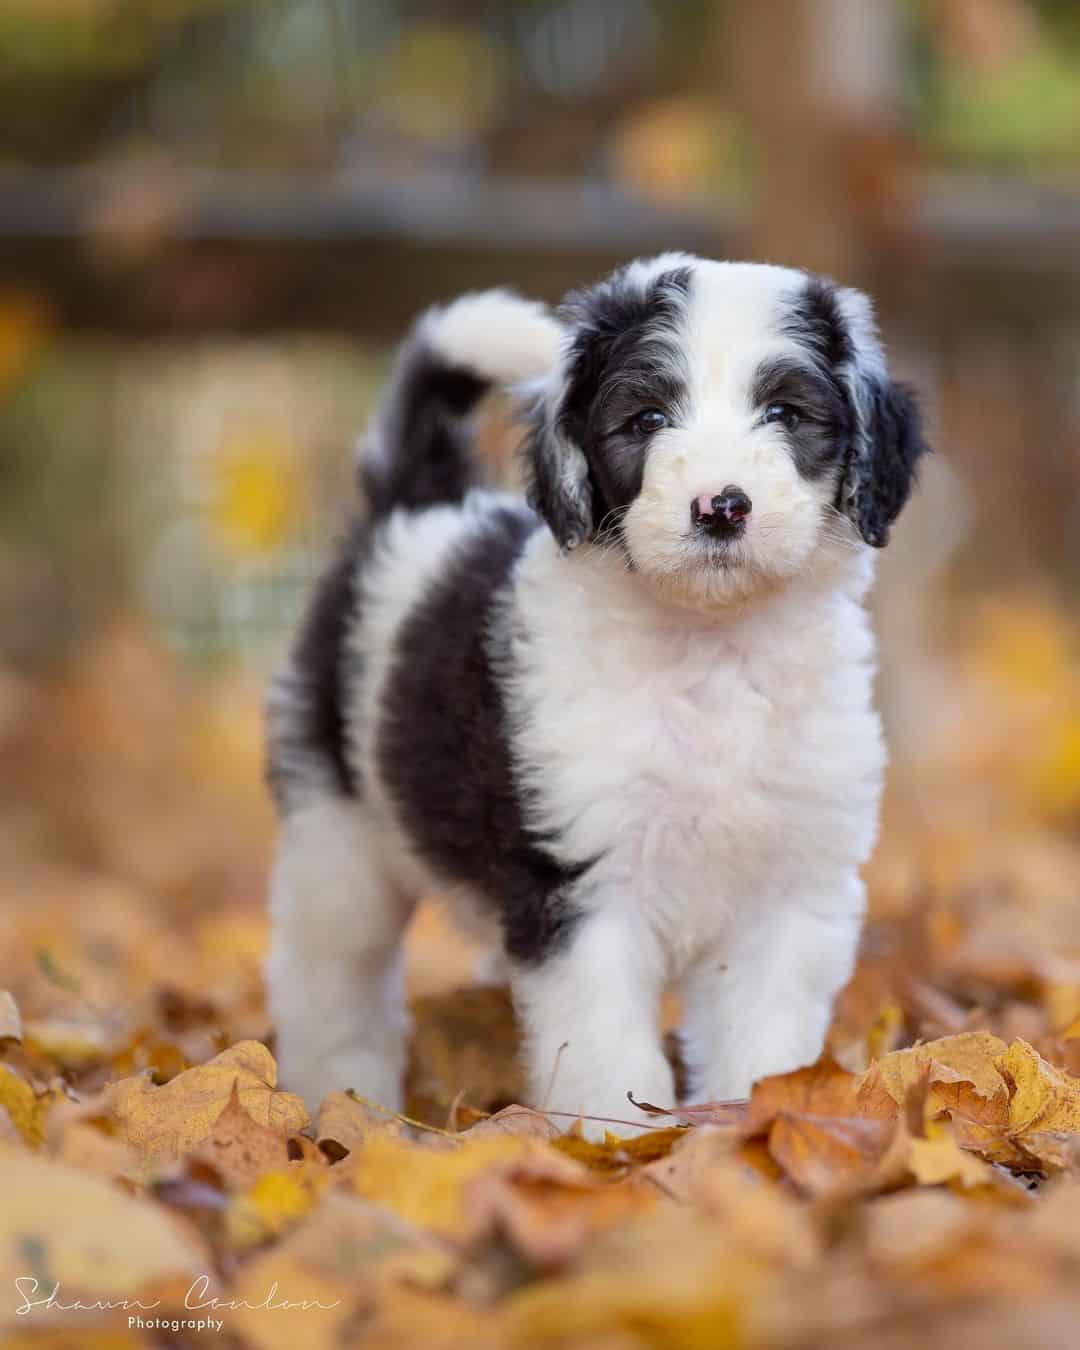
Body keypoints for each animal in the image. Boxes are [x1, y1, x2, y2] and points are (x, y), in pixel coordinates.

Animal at [263, 253, 928, 1128]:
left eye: (785, 412)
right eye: (645, 420)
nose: (720, 506)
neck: (709, 658)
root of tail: (417, 505)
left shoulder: (792, 886)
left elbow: (764, 1034)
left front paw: (751, 1124)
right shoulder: (580, 884)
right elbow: (605, 1043)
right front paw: (613, 1141)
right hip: (337, 832)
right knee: (329, 980)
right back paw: (340, 1100)